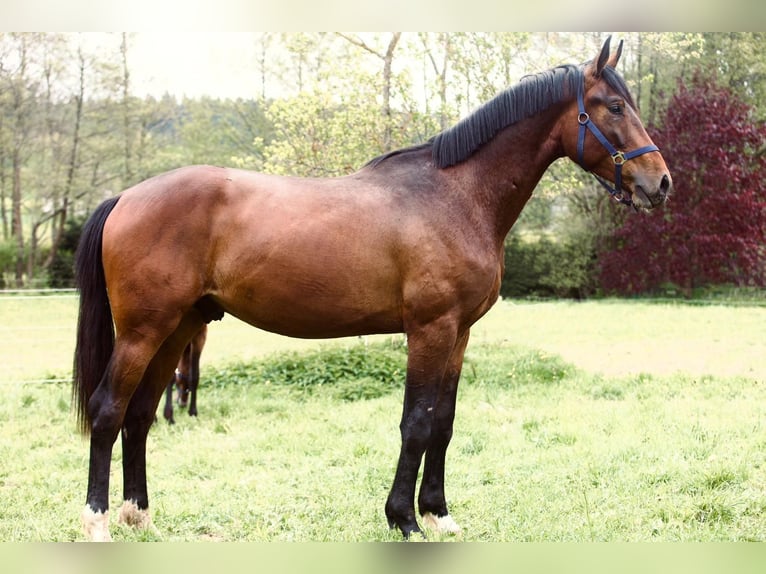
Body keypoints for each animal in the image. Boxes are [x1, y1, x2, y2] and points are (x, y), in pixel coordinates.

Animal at [73, 37, 672, 541]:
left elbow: (443, 423)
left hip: (179, 327)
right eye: (613, 107)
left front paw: (440, 514)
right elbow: (416, 423)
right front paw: (404, 519)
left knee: (140, 414)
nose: (660, 183)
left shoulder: (458, 334)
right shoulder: (429, 330)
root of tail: (126, 197)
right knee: (108, 411)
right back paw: (98, 522)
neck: (455, 195)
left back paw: (138, 515)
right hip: (144, 331)